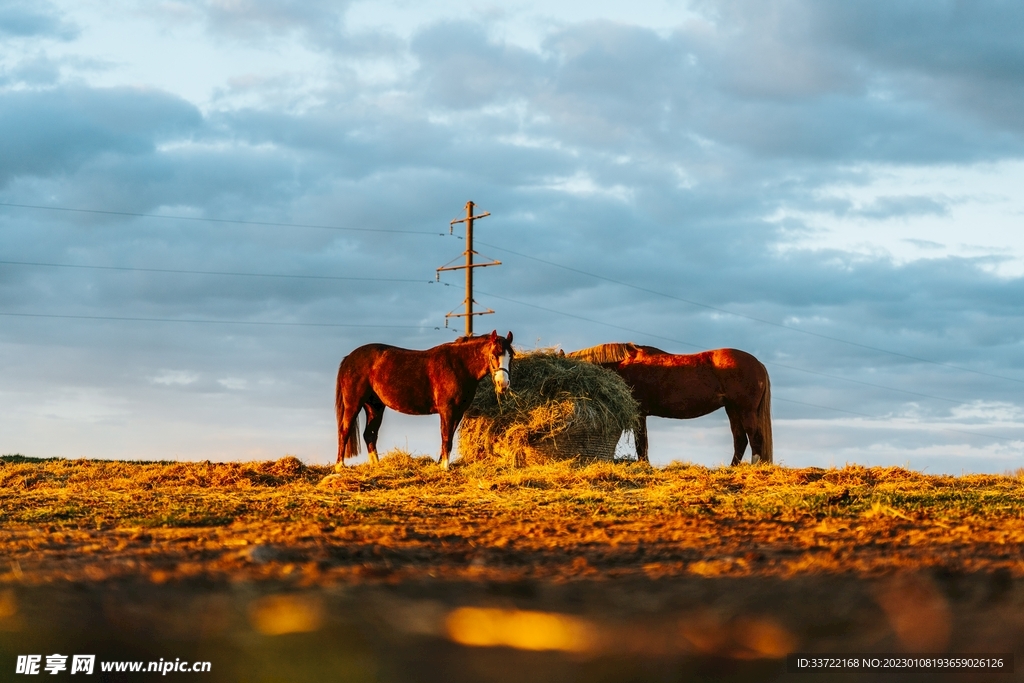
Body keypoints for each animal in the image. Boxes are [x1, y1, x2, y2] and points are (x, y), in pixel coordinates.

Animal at [335, 330, 514, 470]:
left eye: (511, 357)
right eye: (493, 355)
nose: (503, 384)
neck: (458, 365)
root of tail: (349, 358)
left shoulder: (458, 412)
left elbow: (448, 437)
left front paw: (441, 463)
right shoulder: (447, 411)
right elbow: (445, 437)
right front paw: (444, 467)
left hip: (375, 407)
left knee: (369, 435)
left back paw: (376, 465)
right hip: (354, 404)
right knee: (344, 430)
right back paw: (340, 466)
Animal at [567, 343, 772, 465]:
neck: (625, 364)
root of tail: (758, 363)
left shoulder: (640, 413)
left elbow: (641, 443)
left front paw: (645, 465)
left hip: (745, 410)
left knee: (754, 437)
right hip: (732, 409)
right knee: (740, 439)